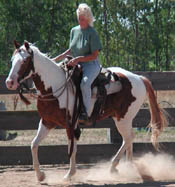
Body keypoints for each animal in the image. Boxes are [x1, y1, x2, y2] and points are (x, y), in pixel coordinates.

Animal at [5, 40, 167, 182]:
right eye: (12, 60)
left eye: (24, 61)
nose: (9, 82)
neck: (54, 87)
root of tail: (138, 78)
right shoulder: (47, 122)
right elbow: (34, 145)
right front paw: (40, 176)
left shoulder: (71, 125)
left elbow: (72, 148)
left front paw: (69, 174)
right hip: (121, 118)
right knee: (128, 139)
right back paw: (127, 167)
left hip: (123, 118)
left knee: (128, 138)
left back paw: (115, 167)